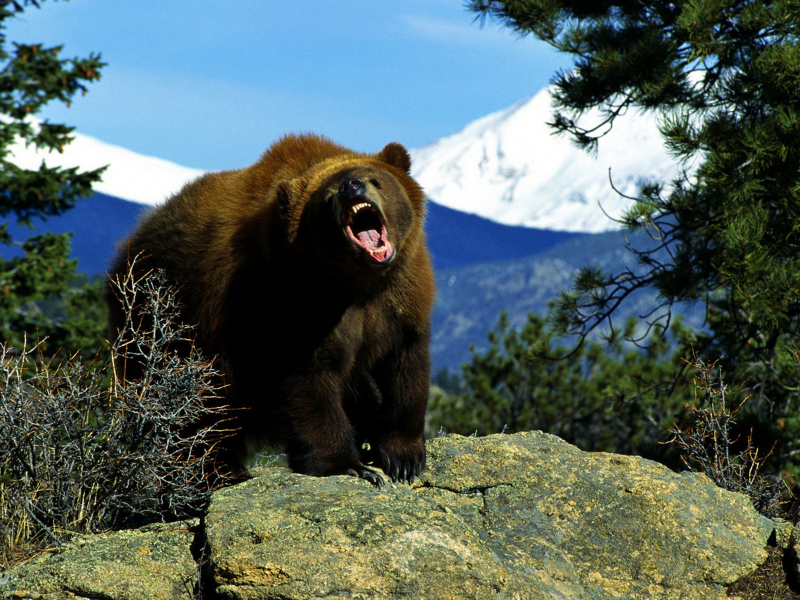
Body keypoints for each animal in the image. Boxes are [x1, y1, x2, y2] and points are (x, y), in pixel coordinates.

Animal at [106, 135, 434, 488]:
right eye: (328, 195)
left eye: (374, 179)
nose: (351, 185)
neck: (357, 281)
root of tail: (126, 249)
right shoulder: (291, 301)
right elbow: (309, 381)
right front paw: (347, 464)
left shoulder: (400, 297)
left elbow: (406, 367)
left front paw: (402, 458)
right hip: (165, 322)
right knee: (193, 409)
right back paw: (214, 471)